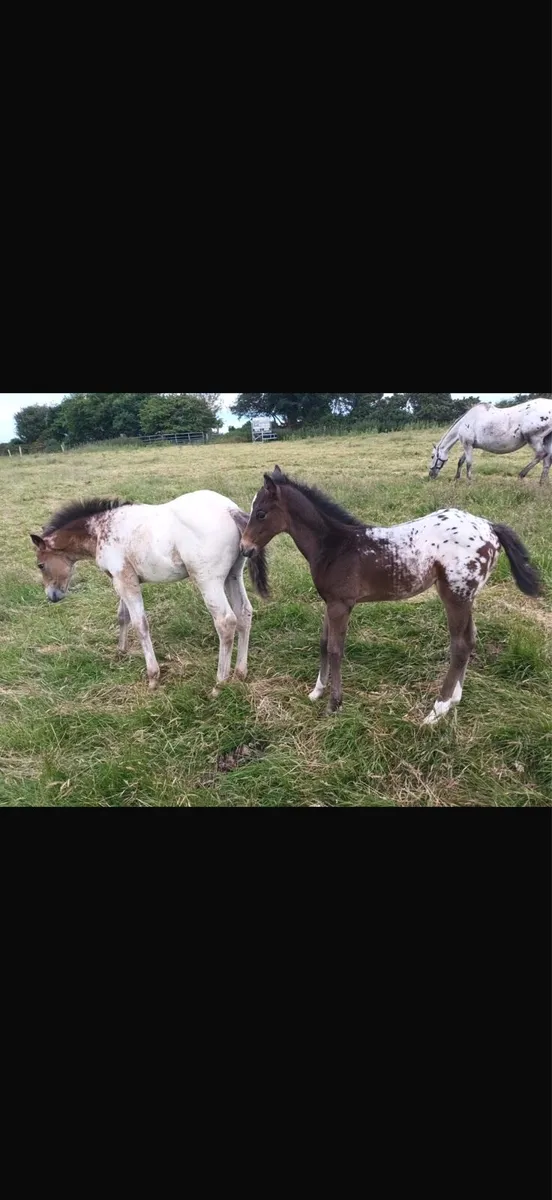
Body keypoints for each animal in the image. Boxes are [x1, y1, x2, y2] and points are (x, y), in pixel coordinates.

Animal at [30, 493, 269, 694]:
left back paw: (219, 685)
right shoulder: (122, 579)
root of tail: (230, 510)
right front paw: (121, 652)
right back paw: (240, 673)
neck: (100, 531)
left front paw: (153, 677)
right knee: (244, 613)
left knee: (226, 621)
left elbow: (140, 624)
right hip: (233, 575)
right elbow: (122, 616)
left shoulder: (125, 580)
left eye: (40, 565)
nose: (52, 596)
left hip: (208, 580)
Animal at [240, 468, 541, 725]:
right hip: (467, 596)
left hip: (455, 595)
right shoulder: (330, 602)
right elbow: (323, 643)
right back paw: (454, 700)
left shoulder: (341, 605)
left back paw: (436, 711)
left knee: (460, 645)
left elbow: (336, 649)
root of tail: (489, 526)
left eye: (261, 513)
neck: (336, 546)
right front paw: (316, 692)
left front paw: (334, 704)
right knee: (470, 639)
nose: (244, 548)